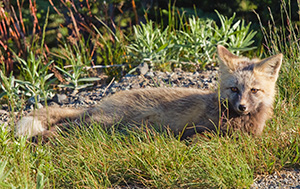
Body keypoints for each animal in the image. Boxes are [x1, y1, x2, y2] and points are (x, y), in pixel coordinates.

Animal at [14, 44, 284, 139]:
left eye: (254, 90)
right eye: (234, 89)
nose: (242, 107)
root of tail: (99, 103)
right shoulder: (200, 128)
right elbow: (201, 136)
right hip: (102, 122)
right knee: (61, 127)